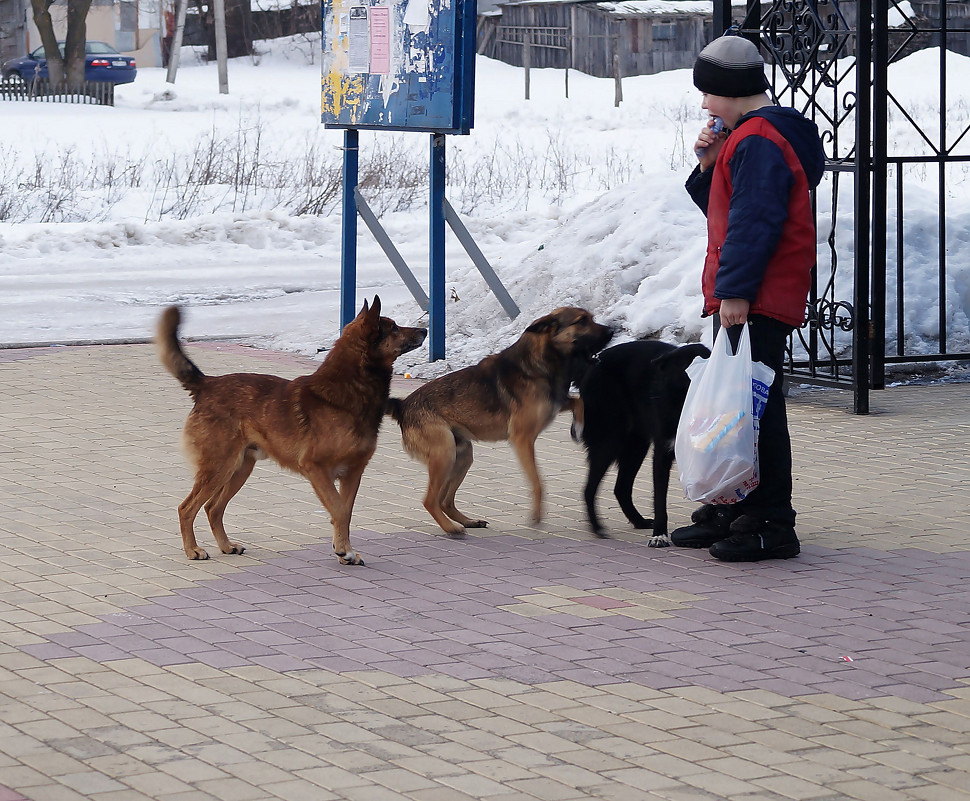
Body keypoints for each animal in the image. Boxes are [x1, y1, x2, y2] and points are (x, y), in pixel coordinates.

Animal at [158, 296, 424, 564]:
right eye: (394, 328)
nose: (424, 330)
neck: (343, 394)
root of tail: (207, 384)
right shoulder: (316, 468)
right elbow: (339, 509)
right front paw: (343, 550)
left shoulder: (352, 474)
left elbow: (345, 512)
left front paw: (344, 549)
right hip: (220, 467)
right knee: (187, 508)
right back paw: (192, 549)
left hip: (239, 469)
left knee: (213, 507)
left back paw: (226, 545)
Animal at [388, 310, 608, 536]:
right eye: (582, 321)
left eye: (590, 318)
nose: (611, 330)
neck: (543, 362)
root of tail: (403, 406)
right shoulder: (523, 439)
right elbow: (538, 482)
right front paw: (536, 515)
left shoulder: (556, 403)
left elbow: (578, 401)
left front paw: (578, 427)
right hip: (445, 454)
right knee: (430, 500)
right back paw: (452, 528)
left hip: (461, 456)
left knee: (445, 501)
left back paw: (467, 521)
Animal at [568, 338, 712, 544]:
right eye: (690, 365)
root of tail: (590, 368)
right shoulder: (662, 453)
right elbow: (659, 500)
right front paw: (659, 535)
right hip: (609, 442)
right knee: (589, 489)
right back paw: (597, 528)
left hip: (636, 446)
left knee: (621, 488)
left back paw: (638, 521)